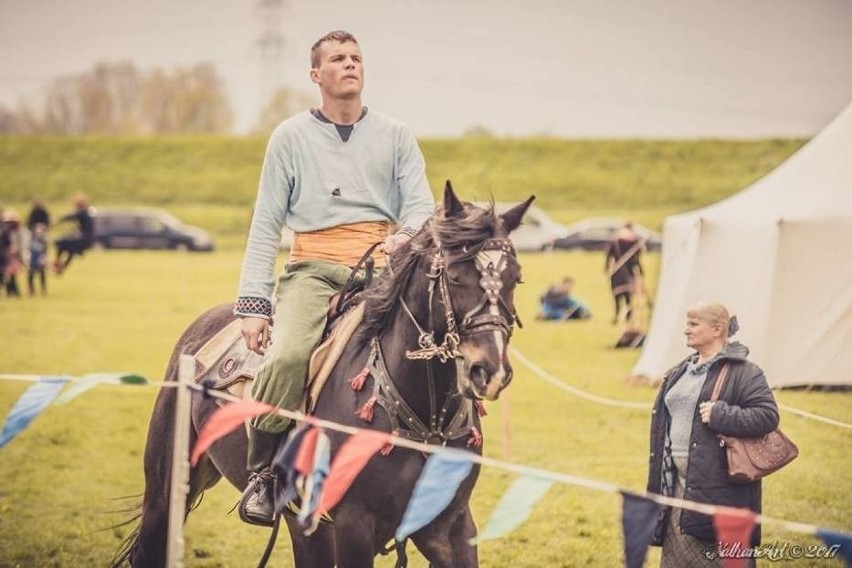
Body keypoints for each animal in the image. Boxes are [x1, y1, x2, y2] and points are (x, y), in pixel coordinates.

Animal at [113, 183, 532, 568]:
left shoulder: (450, 528)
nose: (490, 370)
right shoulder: (353, 527)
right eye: (456, 276)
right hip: (168, 490)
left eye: (515, 277)